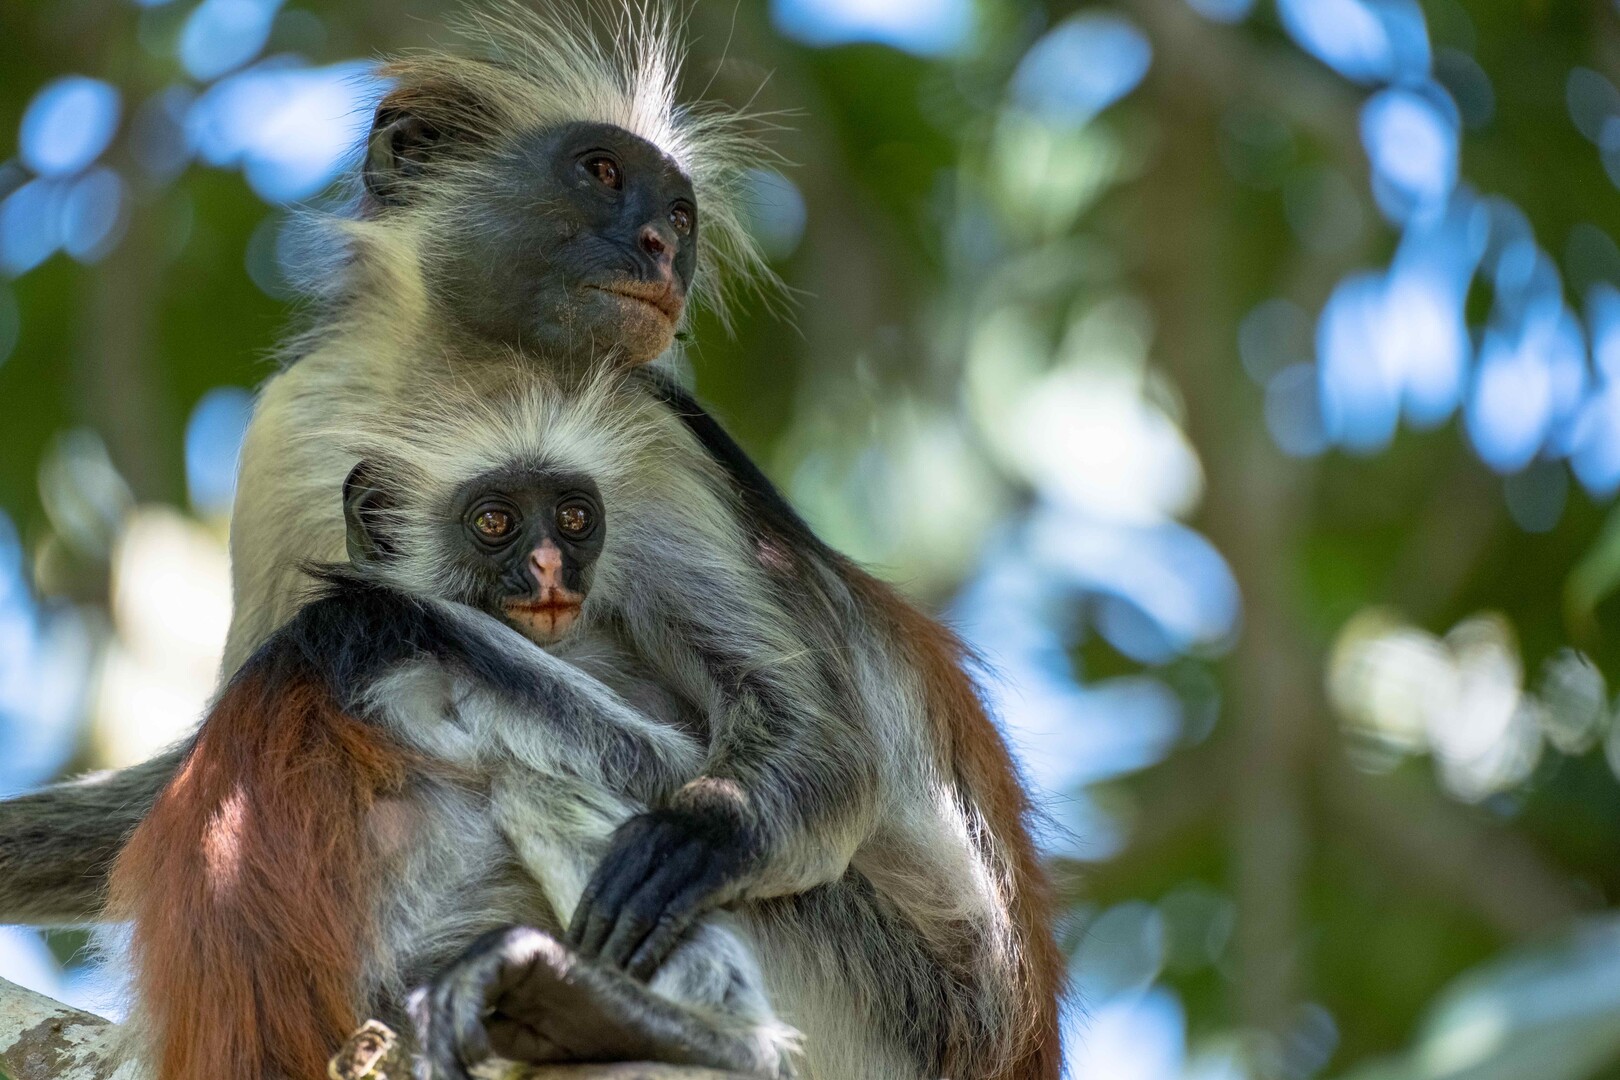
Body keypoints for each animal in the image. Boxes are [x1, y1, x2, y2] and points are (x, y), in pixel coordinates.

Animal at [3, 4, 1062, 1075]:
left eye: (681, 214)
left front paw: (699, 838)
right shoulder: (290, 426)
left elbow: (825, 743)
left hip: (879, 1000)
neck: (465, 382)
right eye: (600, 172)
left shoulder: (644, 435)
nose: (662, 247)